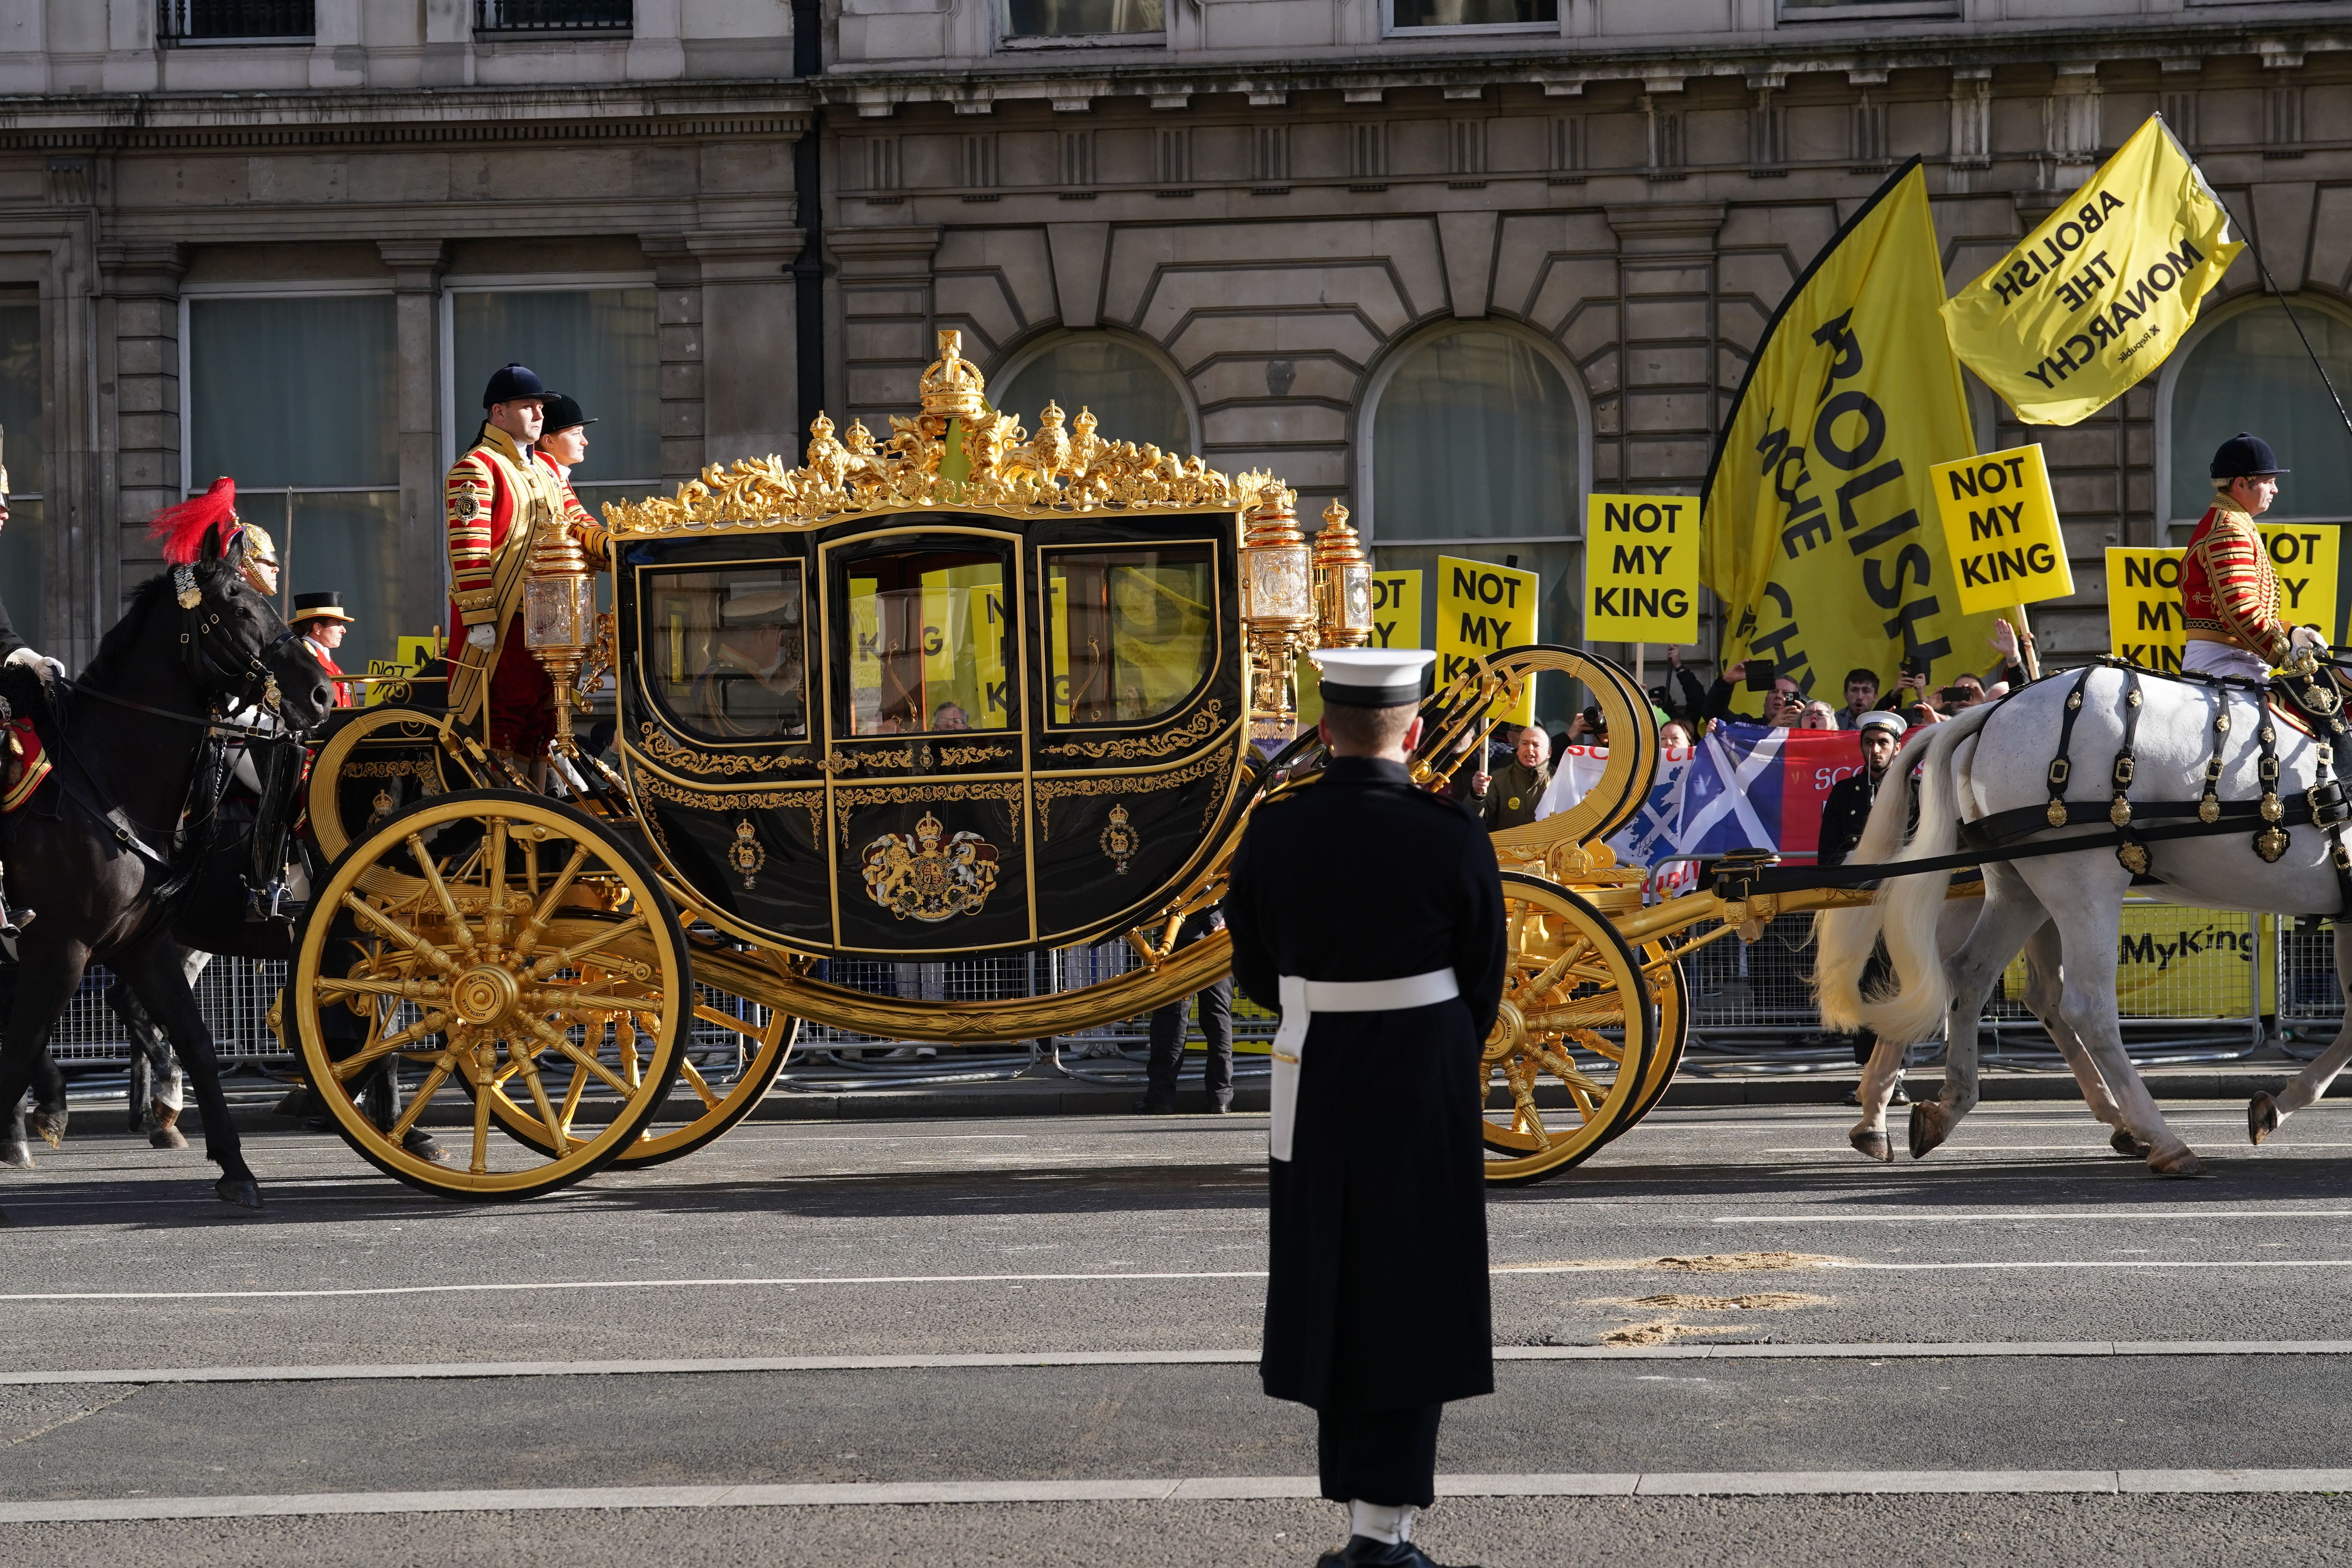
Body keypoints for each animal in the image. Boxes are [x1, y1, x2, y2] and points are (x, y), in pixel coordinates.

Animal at [0, 534, 332, 1213]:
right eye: (236, 605)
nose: (320, 695)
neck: (107, 782)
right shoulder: (61, 946)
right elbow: (21, 1050)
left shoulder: (140, 943)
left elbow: (199, 1042)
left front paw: (236, 1168)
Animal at [1825, 668, 2352, 1185]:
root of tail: (1992, 711)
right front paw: (2276, 1106)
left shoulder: (2346, 915)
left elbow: (2350, 1022)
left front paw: (2276, 1107)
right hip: (2082, 881)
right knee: (2083, 1005)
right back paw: (2161, 1139)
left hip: (2015, 888)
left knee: (1968, 975)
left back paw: (1937, 1108)